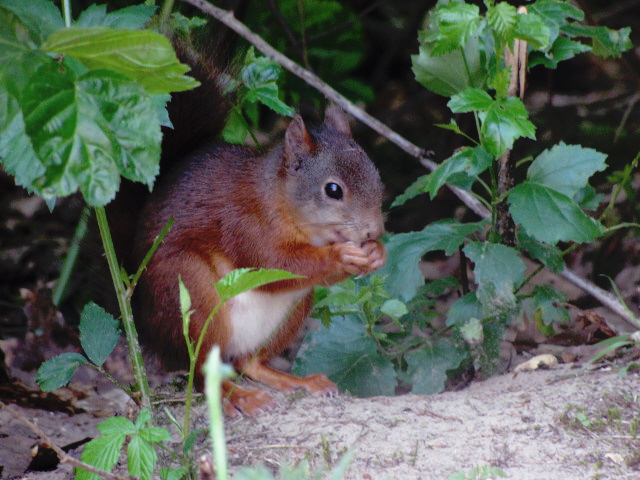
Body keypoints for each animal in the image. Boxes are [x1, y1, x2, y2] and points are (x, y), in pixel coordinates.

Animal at [129, 46, 384, 416]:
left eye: (376, 174)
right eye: (333, 190)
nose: (373, 230)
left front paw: (377, 253)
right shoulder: (244, 223)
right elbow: (273, 262)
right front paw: (341, 256)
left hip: (294, 310)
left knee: (248, 363)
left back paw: (298, 382)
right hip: (191, 294)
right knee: (202, 372)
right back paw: (241, 397)